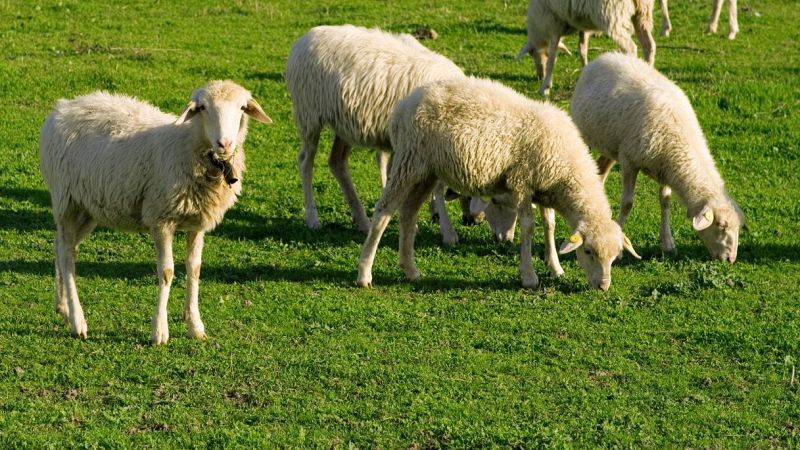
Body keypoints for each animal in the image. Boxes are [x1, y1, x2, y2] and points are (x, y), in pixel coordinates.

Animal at [39, 80, 271, 344]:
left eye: (242, 107)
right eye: (202, 107)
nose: (225, 143)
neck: (189, 145)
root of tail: (63, 106)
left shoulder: (197, 223)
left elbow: (194, 269)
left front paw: (195, 325)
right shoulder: (161, 219)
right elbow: (167, 272)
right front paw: (159, 330)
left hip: (88, 208)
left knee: (61, 246)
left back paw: (63, 307)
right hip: (66, 200)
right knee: (68, 255)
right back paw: (78, 321)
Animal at [286, 24, 467, 244]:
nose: (471, 221)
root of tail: (304, 38)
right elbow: (435, 187)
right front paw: (447, 232)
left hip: (343, 124)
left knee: (337, 162)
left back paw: (362, 220)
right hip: (309, 115)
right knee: (306, 160)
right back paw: (313, 218)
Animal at [356, 77, 640, 291]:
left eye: (614, 257)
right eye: (589, 252)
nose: (603, 286)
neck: (567, 169)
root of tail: (403, 105)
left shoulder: (544, 187)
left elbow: (549, 225)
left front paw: (555, 266)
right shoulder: (522, 182)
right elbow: (528, 227)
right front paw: (529, 276)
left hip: (428, 170)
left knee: (408, 213)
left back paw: (410, 270)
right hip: (409, 159)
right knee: (384, 212)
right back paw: (364, 274)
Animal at [516, 0, 656, 96]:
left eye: (532, 53)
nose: (539, 76)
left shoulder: (553, 24)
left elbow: (551, 60)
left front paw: (545, 88)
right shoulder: (582, 26)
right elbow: (582, 49)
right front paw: (585, 72)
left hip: (612, 16)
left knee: (631, 48)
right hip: (643, 13)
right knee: (649, 45)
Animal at [571, 53, 743, 262]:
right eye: (721, 226)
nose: (730, 259)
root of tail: (605, 56)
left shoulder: (666, 169)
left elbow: (665, 201)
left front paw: (667, 243)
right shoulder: (630, 161)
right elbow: (627, 203)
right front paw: (619, 248)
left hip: (611, 145)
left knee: (600, 171)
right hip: (584, 134)